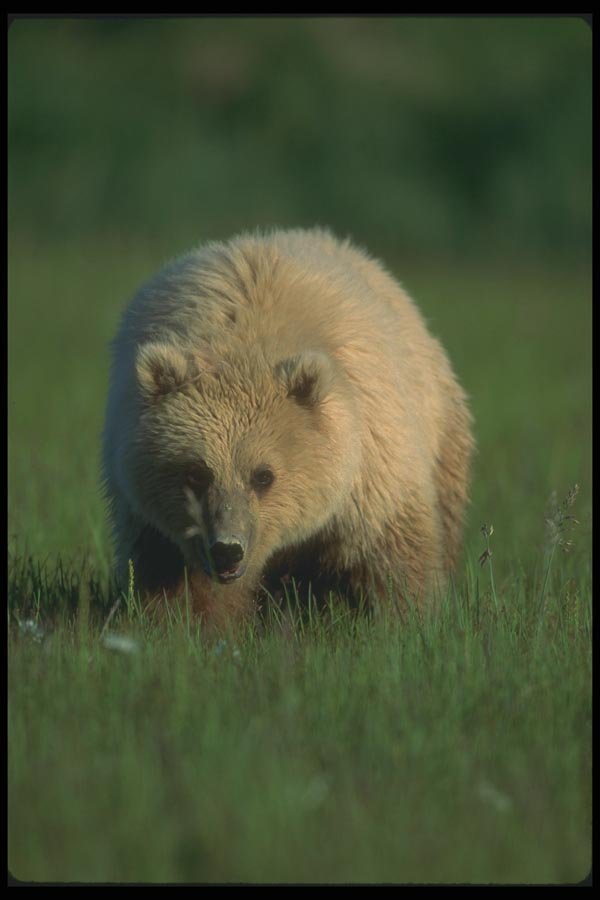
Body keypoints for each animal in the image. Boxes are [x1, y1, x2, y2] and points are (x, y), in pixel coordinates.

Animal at [102, 228, 474, 631]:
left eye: (263, 475)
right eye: (197, 472)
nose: (228, 550)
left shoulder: (371, 465)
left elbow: (393, 556)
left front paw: (411, 620)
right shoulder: (152, 517)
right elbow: (174, 578)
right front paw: (182, 626)